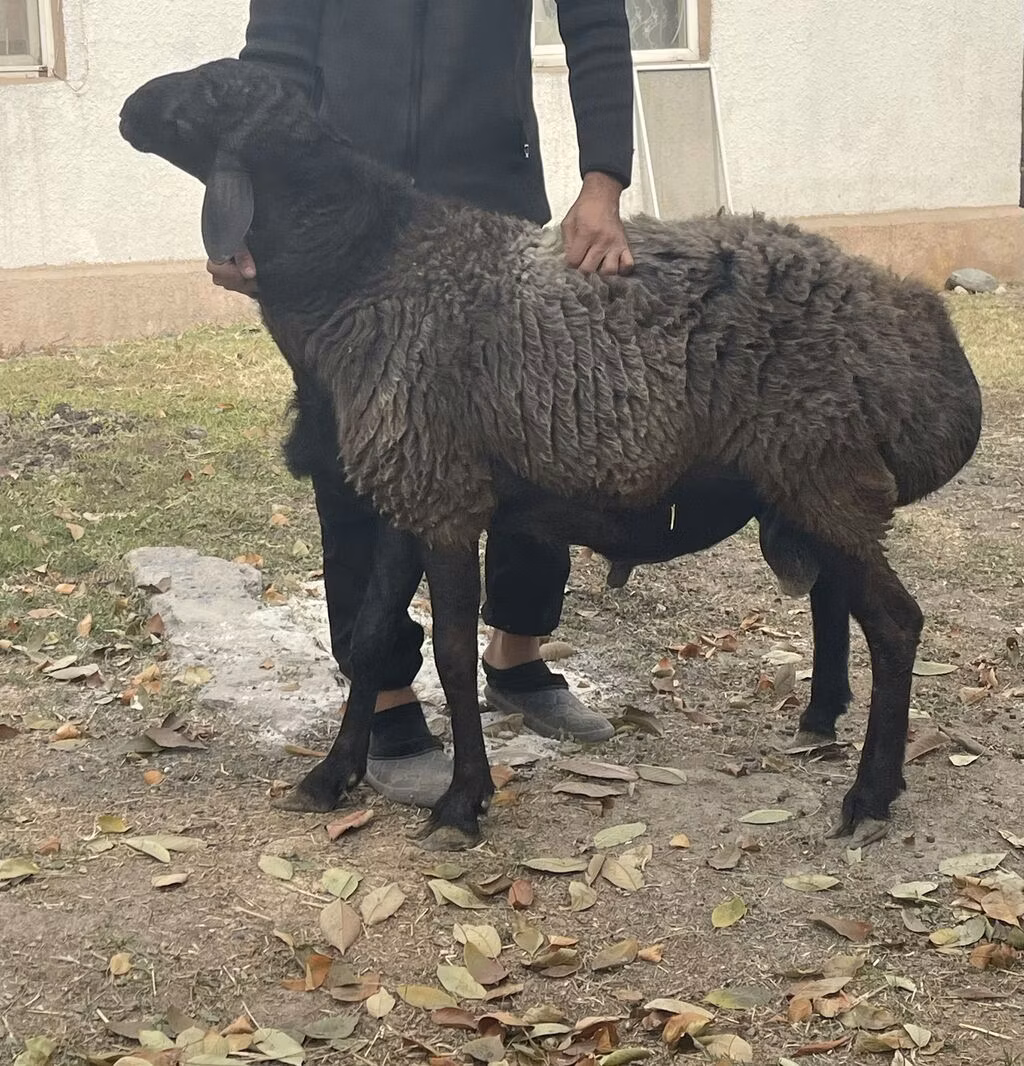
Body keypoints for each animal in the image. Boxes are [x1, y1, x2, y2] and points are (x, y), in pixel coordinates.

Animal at [119, 58, 983, 851]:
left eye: (215, 91)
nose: (128, 108)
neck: (367, 265)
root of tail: (925, 330)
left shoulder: (446, 499)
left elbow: (455, 654)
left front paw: (463, 801)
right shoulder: (408, 485)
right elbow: (370, 642)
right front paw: (332, 776)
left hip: (823, 468)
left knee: (896, 623)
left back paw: (870, 795)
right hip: (808, 480)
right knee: (836, 598)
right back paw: (819, 718)